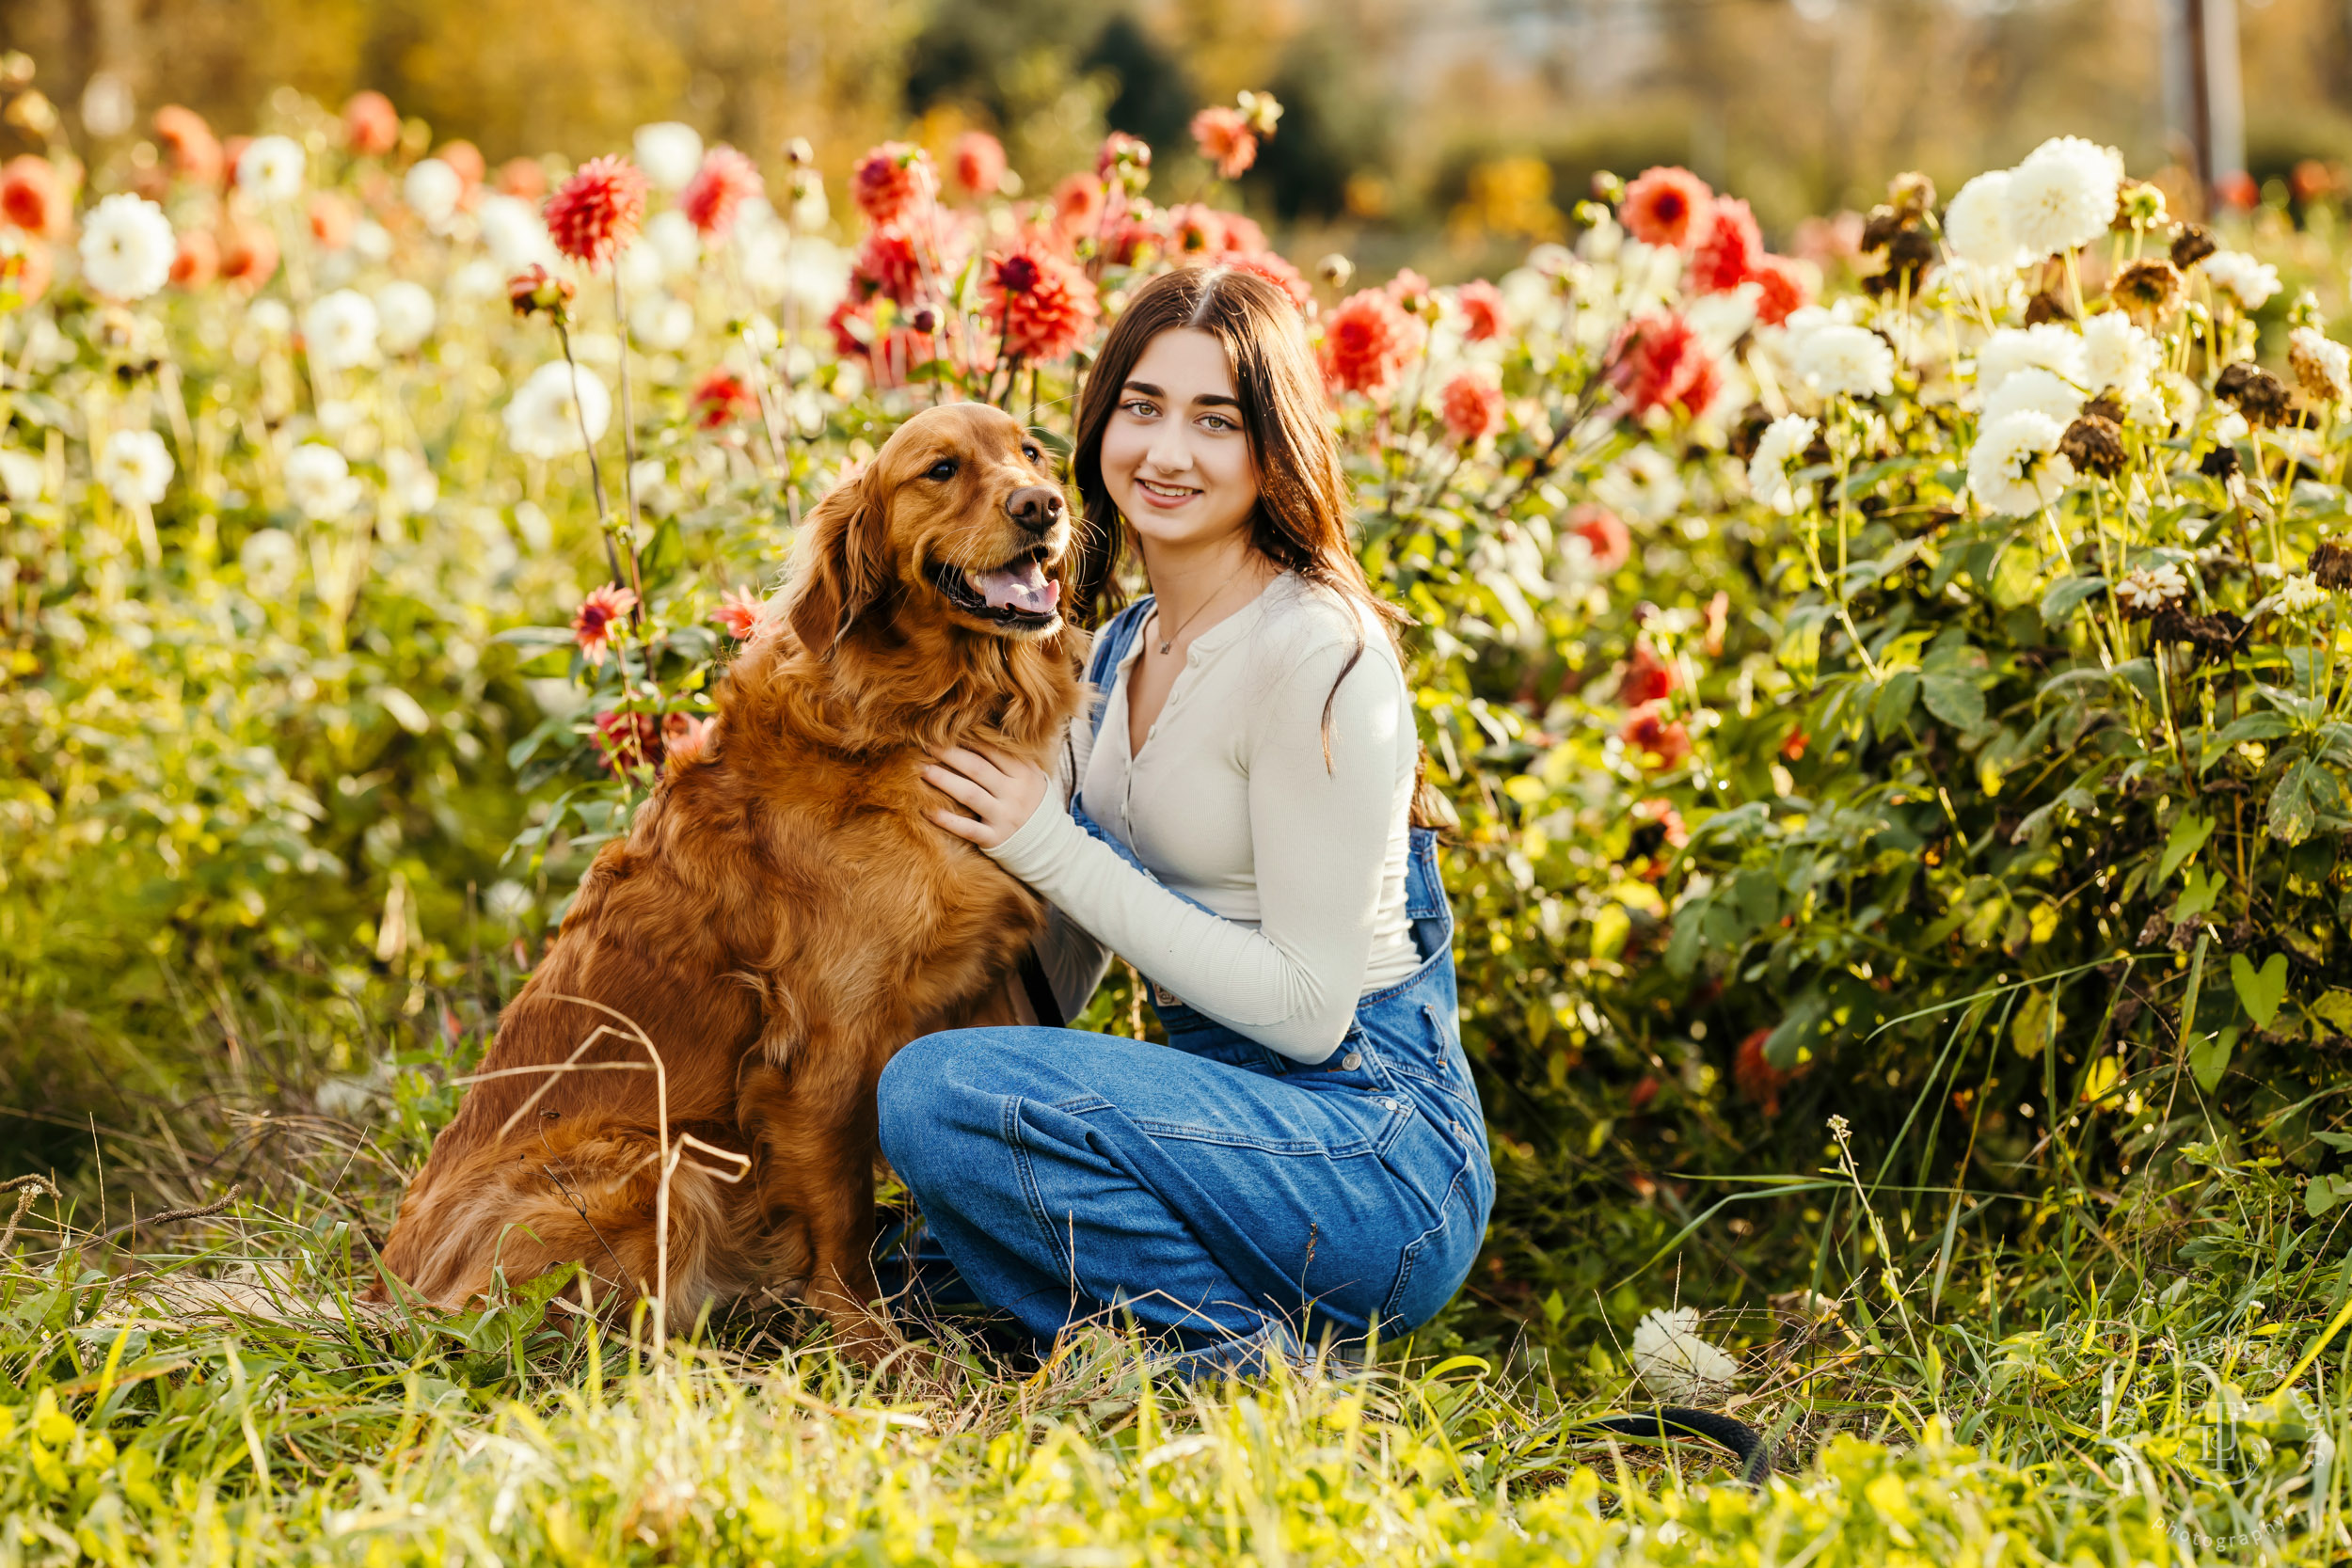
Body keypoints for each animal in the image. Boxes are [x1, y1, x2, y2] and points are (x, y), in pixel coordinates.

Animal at [381, 404, 1087, 1363]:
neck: (922, 714)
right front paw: (870, 1347)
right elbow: (842, 1218)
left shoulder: (982, 987)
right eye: (940, 469)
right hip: (663, 1166)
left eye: (1032, 451)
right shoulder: (822, 1044)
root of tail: (390, 1288)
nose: (1044, 506)